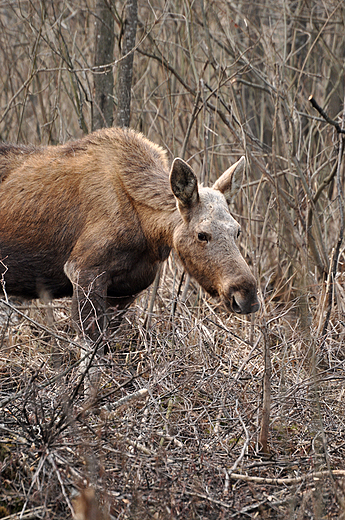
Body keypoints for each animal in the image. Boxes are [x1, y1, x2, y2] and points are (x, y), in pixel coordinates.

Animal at [0, 126, 258, 344]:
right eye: (202, 235)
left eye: (237, 230)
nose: (247, 295)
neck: (148, 232)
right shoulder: (83, 271)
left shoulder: (125, 291)